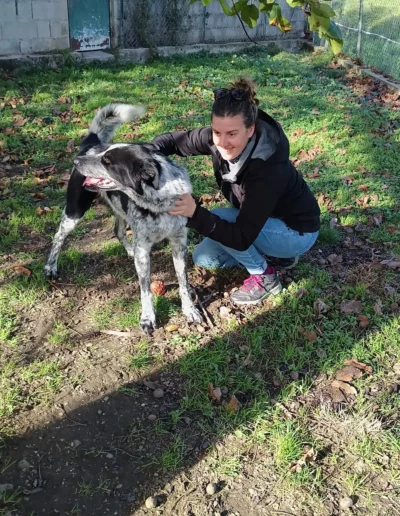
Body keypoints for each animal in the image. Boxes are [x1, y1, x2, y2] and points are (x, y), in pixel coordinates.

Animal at [44, 103, 202, 333]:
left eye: (107, 161)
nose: (76, 161)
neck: (160, 203)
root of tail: (90, 144)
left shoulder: (179, 243)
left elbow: (184, 282)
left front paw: (190, 310)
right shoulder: (144, 248)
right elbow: (145, 289)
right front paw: (148, 318)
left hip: (120, 210)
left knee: (117, 231)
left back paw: (129, 251)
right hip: (75, 210)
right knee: (58, 237)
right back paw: (50, 267)